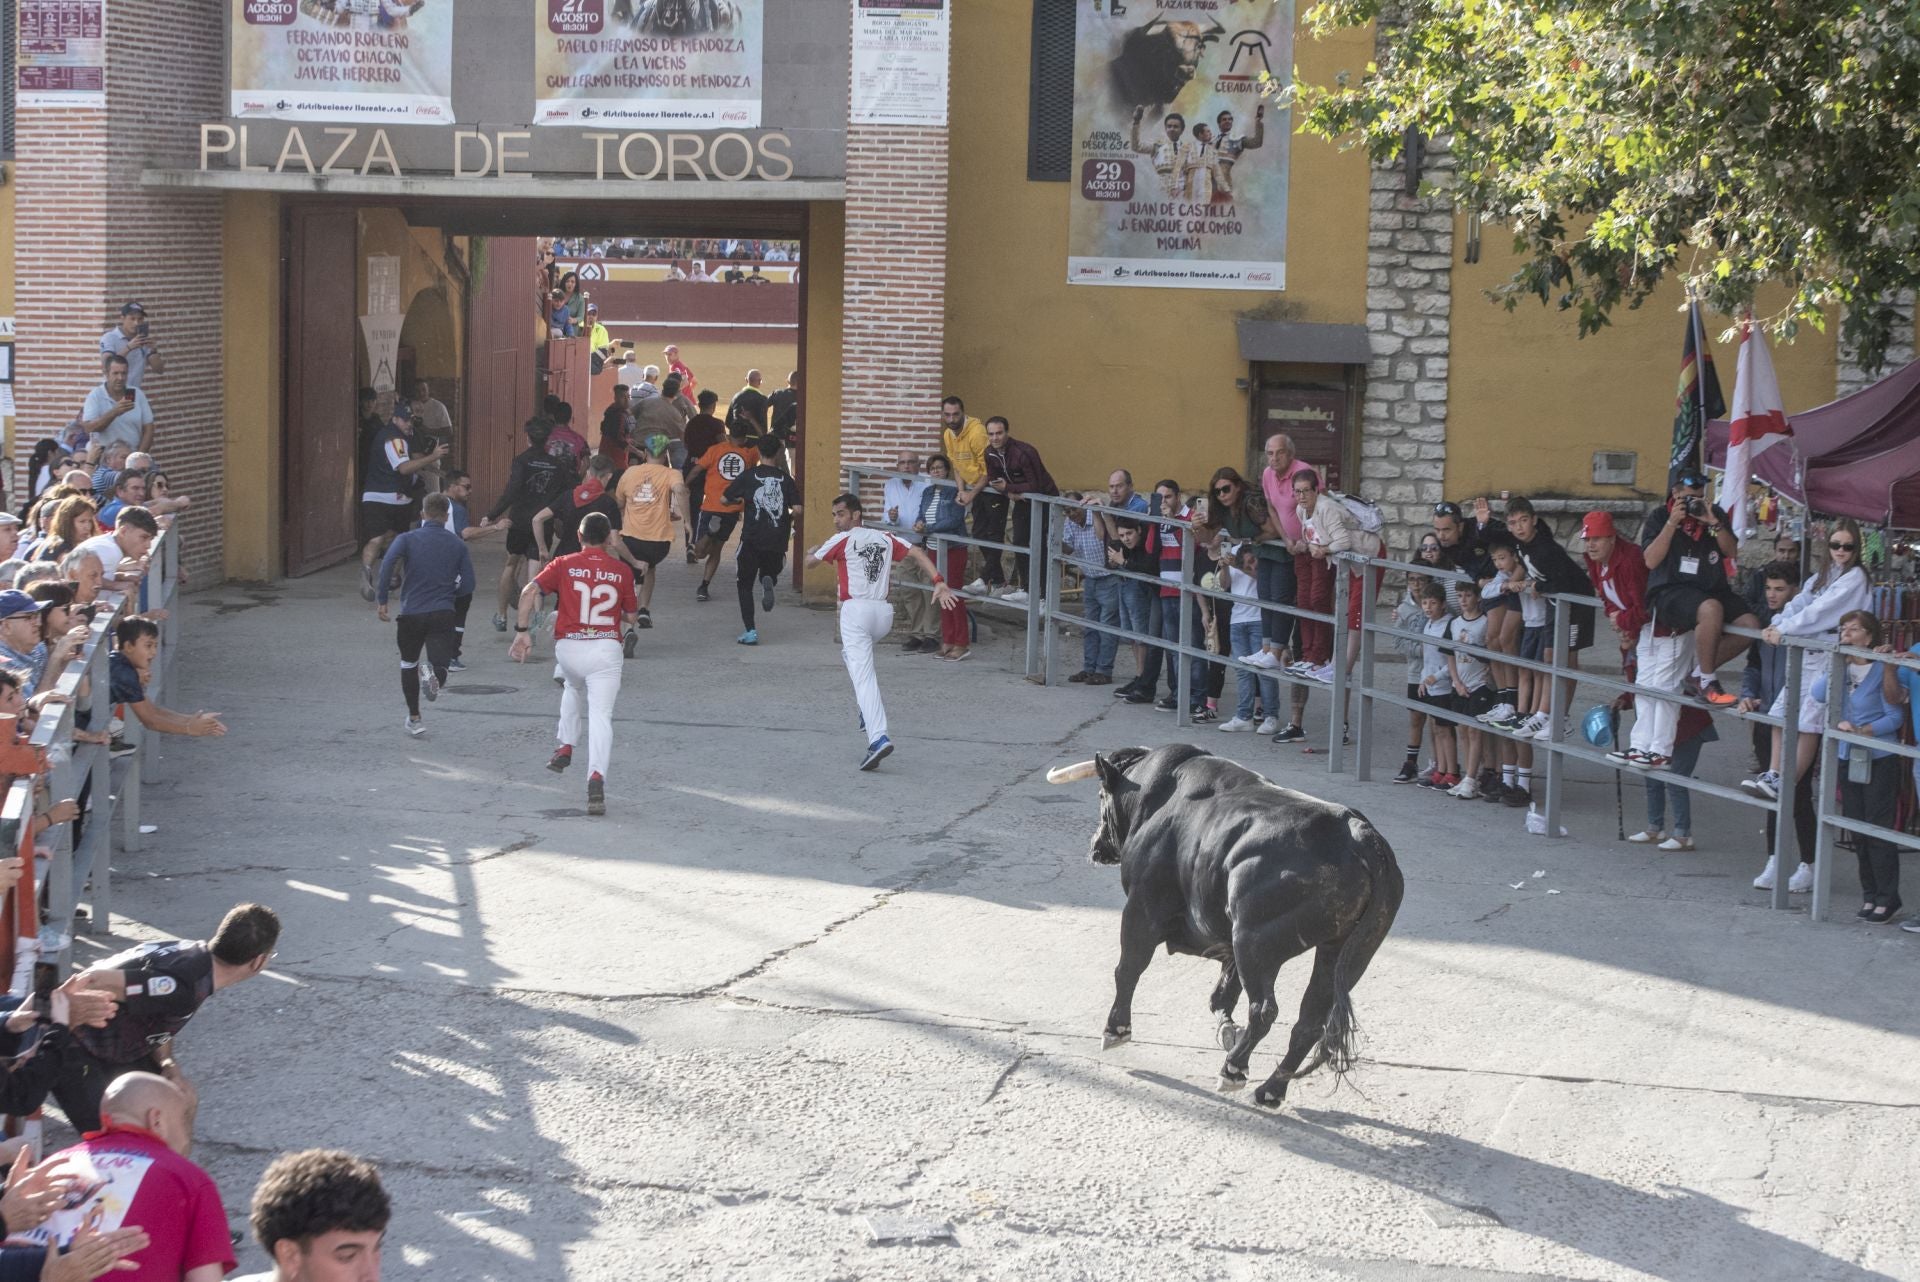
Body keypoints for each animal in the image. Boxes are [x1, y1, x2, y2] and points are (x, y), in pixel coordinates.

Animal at [1059, 744, 1405, 1105]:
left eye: (1101, 795)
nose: (1096, 846)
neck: (1159, 796)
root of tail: (1358, 834)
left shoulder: (1143, 907)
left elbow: (1129, 968)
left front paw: (1115, 1030)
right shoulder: (1225, 940)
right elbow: (1222, 996)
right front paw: (1228, 1030)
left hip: (1255, 943)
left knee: (1264, 1009)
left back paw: (1234, 1070)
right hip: (1344, 952)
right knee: (1310, 1019)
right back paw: (1269, 1089)